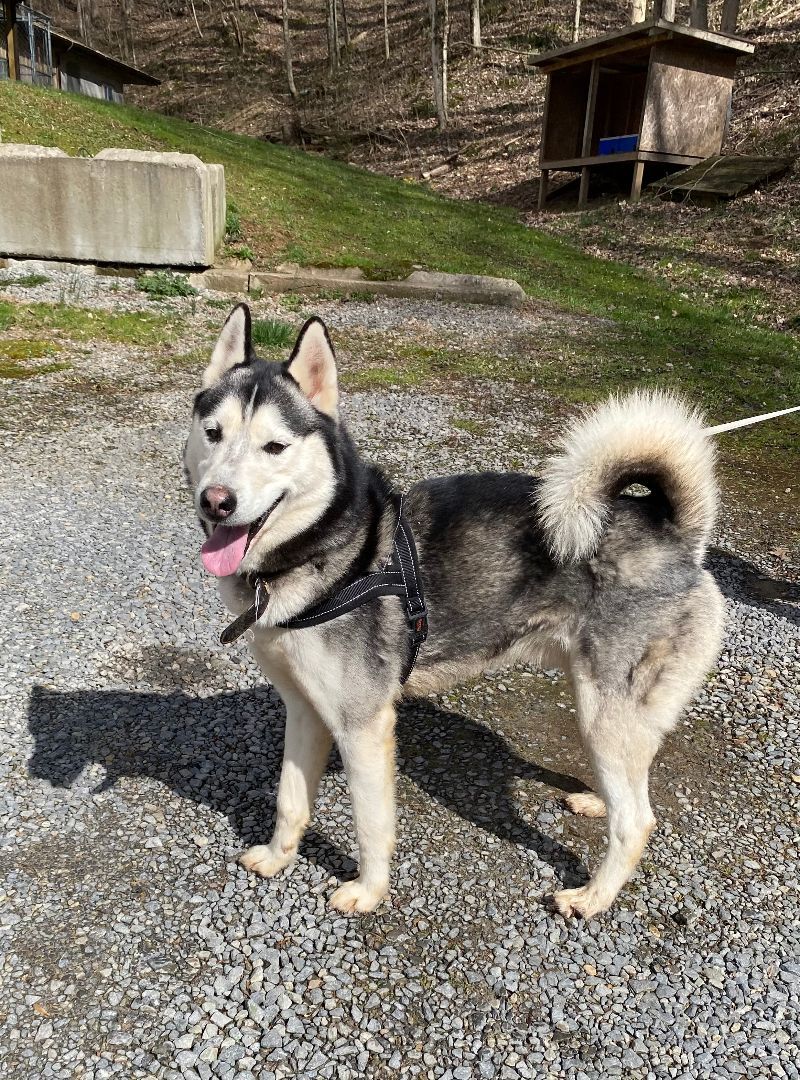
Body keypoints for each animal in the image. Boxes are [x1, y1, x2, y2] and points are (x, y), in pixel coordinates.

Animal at [184, 304, 725, 920]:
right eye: (213, 433)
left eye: (274, 447)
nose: (216, 501)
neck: (327, 549)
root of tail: (676, 533)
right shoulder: (305, 711)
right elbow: (289, 800)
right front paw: (278, 858)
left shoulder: (363, 725)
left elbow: (371, 824)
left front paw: (369, 892)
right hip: (610, 712)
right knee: (633, 782)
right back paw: (595, 800)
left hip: (606, 710)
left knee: (636, 820)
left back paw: (592, 896)